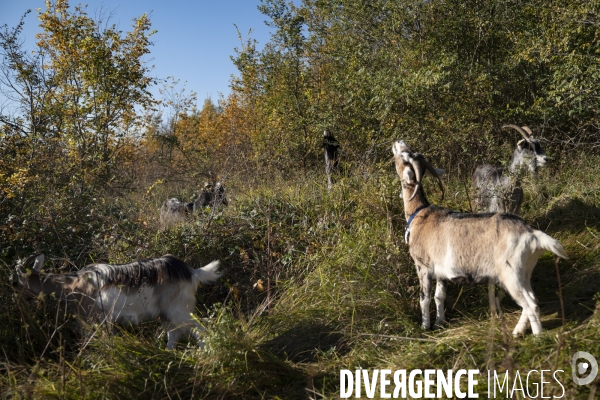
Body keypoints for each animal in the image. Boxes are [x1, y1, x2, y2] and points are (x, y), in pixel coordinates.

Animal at [12, 255, 223, 348]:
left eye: (16, 281)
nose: (18, 302)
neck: (73, 285)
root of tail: (192, 272)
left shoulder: (94, 320)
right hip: (168, 313)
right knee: (175, 333)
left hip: (179, 309)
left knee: (200, 330)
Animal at [394, 141, 568, 334]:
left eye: (403, 155)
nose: (398, 142)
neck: (419, 214)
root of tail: (532, 234)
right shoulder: (441, 272)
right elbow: (440, 296)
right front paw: (439, 322)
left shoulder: (423, 265)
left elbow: (424, 299)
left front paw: (425, 326)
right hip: (525, 272)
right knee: (532, 299)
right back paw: (517, 332)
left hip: (510, 274)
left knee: (531, 304)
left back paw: (537, 335)